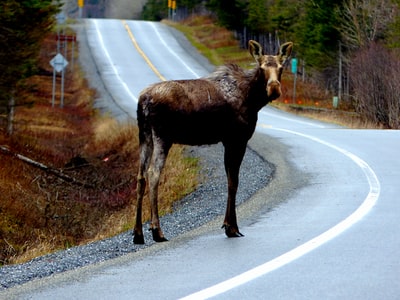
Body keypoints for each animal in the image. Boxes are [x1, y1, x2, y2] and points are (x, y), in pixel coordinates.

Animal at [133, 39, 292, 244]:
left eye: (281, 67)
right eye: (262, 67)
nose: (274, 88)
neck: (253, 99)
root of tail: (143, 101)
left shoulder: (227, 141)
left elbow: (230, 179)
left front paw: (228, 225)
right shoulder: (237, 138)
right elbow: (234, 181)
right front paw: (232, 227)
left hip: (144, 135)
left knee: (140, 176)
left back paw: (138, 233)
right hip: (162, 136)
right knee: (153, 173)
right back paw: (157, 230)